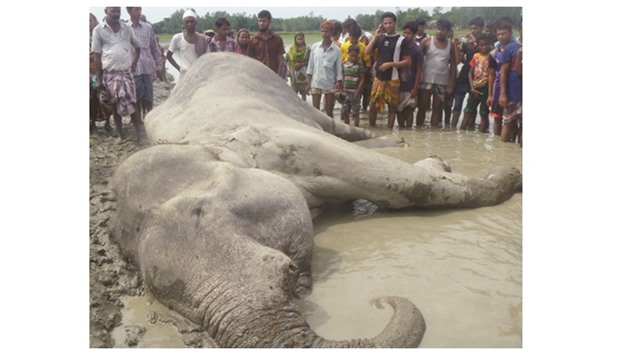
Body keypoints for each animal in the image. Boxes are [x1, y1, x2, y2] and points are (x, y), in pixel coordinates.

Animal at [109, 52, 520, 348]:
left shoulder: (280, 140)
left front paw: (507, 179)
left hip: (282, 87)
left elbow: (405, 183)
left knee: (336, 125)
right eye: (158, 292)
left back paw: (402, 142)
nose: (381, 300)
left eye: (200, 210)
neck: (206, 146)